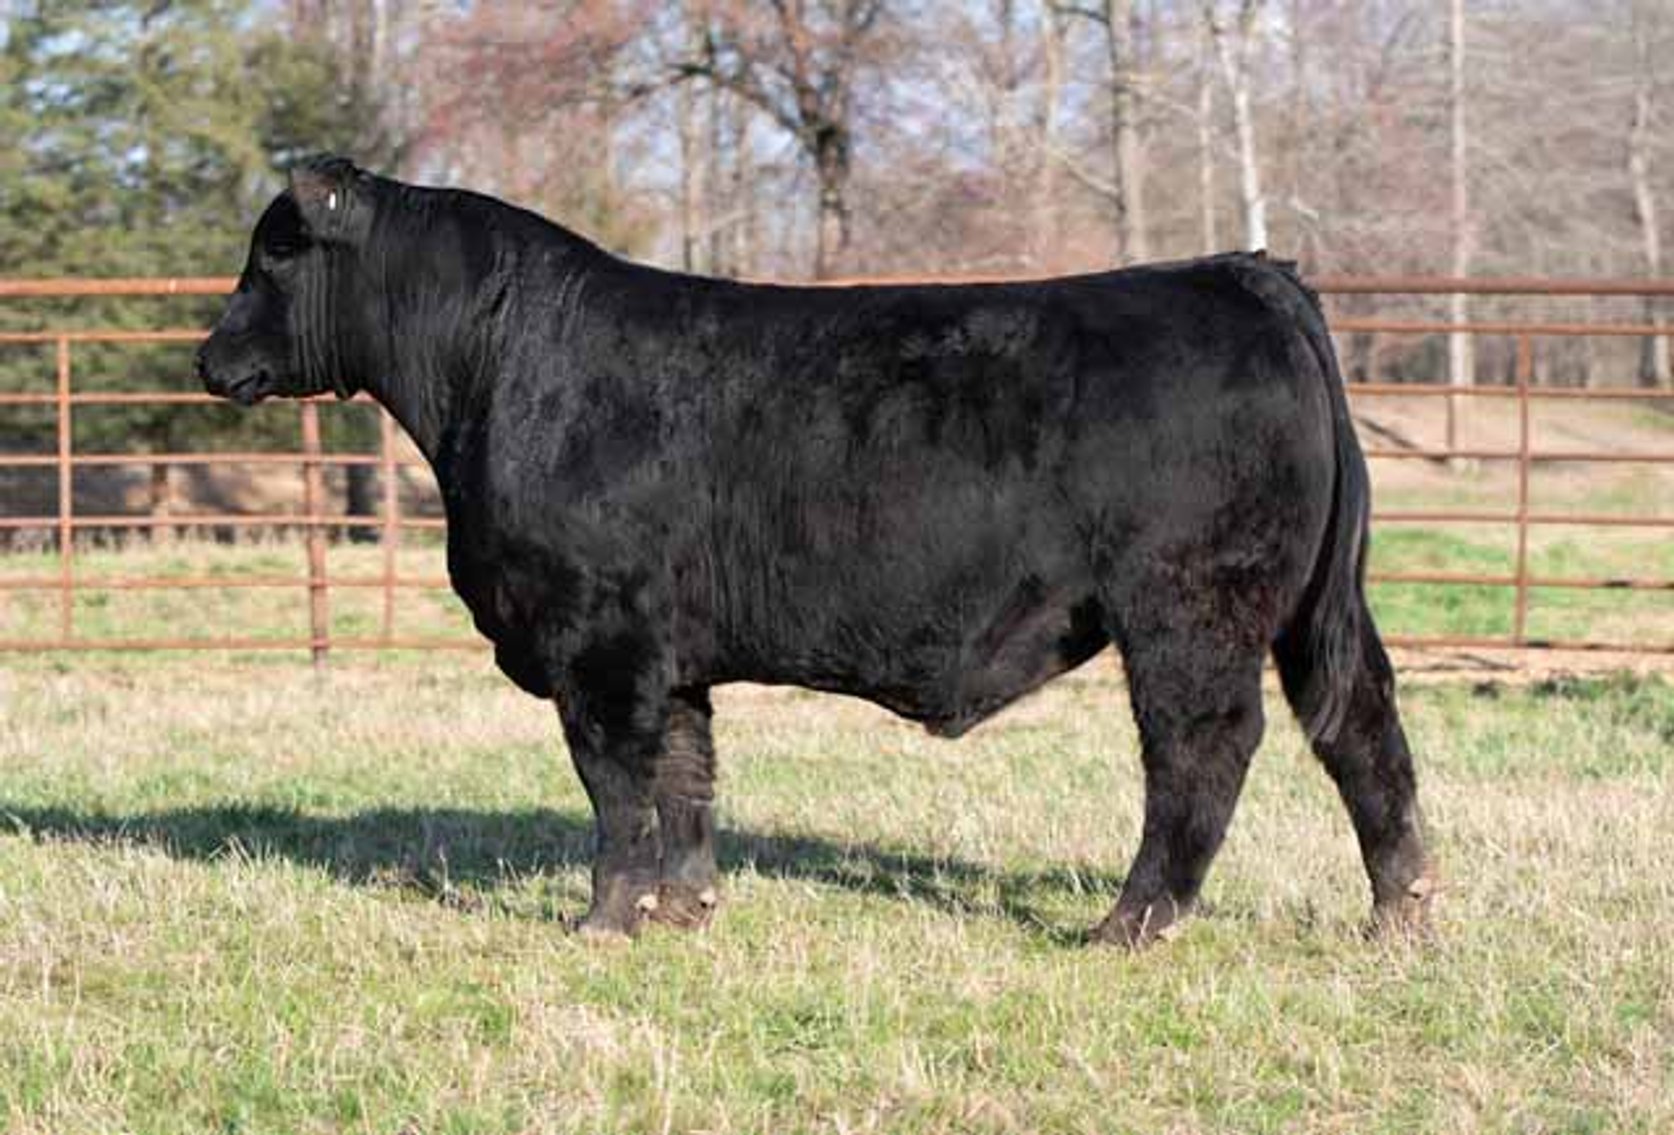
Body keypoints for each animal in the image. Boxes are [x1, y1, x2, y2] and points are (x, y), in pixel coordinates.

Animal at [197, 155, 1434, 946]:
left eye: (275, 252)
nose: (210, 358)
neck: (495, 366)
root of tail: (1237, 270)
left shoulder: (598, 643)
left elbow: (616, 790)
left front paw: (600, 920)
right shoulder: (669, 654)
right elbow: (685, 779)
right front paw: (682, 910)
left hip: (1189, 608)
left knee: (1202, 748)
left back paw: (1132, 923)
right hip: (1309, 608)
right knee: (1359, 725)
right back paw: (1400, 913)